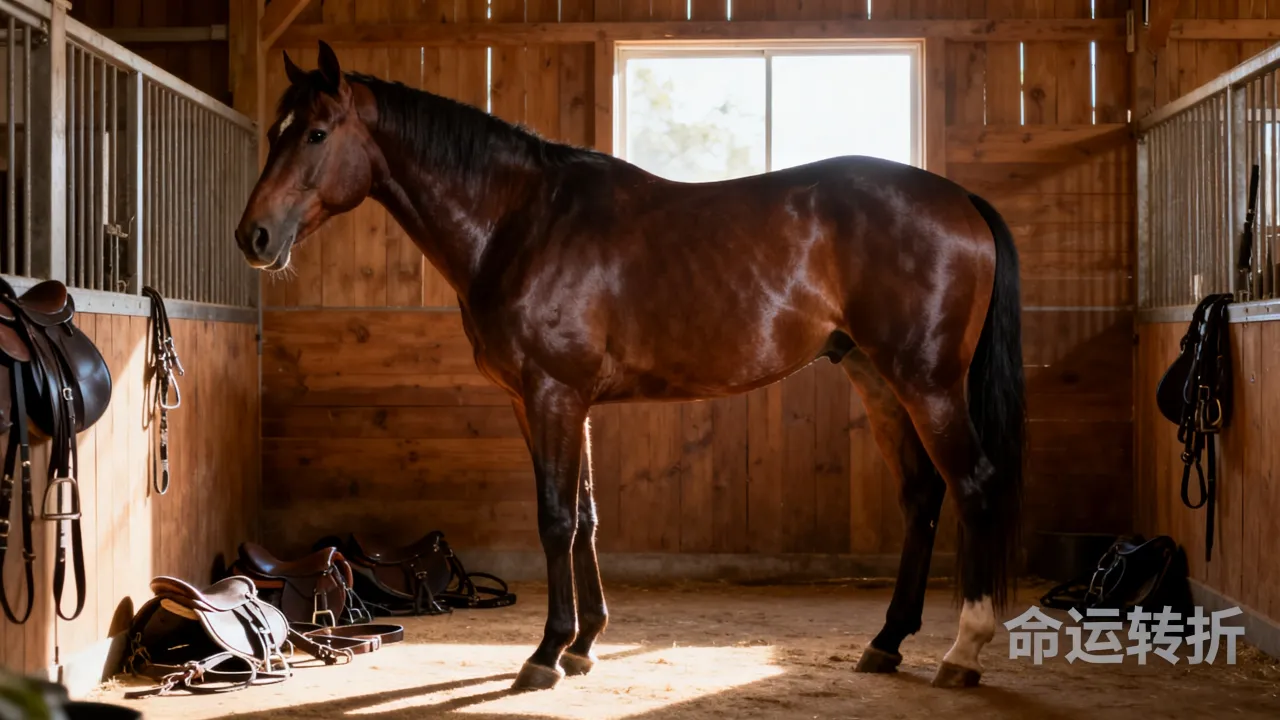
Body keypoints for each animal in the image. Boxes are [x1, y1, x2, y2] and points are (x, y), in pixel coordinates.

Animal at [236, 41, 1026, 691]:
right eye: (276, 132)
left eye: (315, 133)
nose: (254, 236)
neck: (519, 221)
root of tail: (960, 199)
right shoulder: (552, 400)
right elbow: (586, 517)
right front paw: (585, 644)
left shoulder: (553, 394)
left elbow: (556, 518)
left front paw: (546, 654)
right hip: (878, 379)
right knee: (922, 496)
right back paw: (887, 641)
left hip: (927, 385)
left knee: (974, 485)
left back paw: (963, 651)